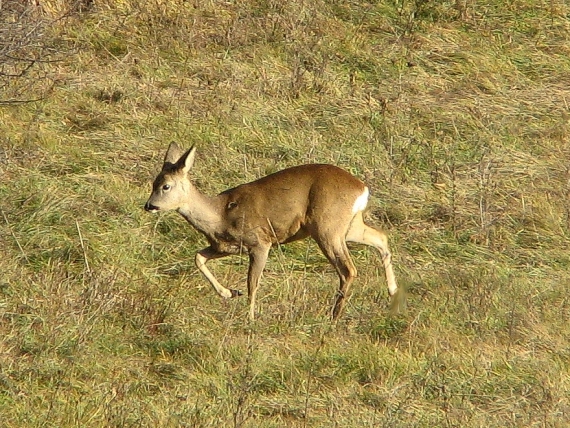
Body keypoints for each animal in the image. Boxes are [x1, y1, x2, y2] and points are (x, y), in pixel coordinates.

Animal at [144, 142, 398, 320]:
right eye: (153, 183)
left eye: (165, 186)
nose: (149, 206)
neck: (220, 214)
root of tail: (361, 188)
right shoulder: (224, 246)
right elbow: (198, 257)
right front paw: (229, 293)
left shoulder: (260, 242)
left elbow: (252, 282)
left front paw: (249, 317)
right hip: (349, 226)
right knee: (381, 238)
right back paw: (393, 291)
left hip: (327, 226)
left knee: (348, 269)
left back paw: (334, 316)